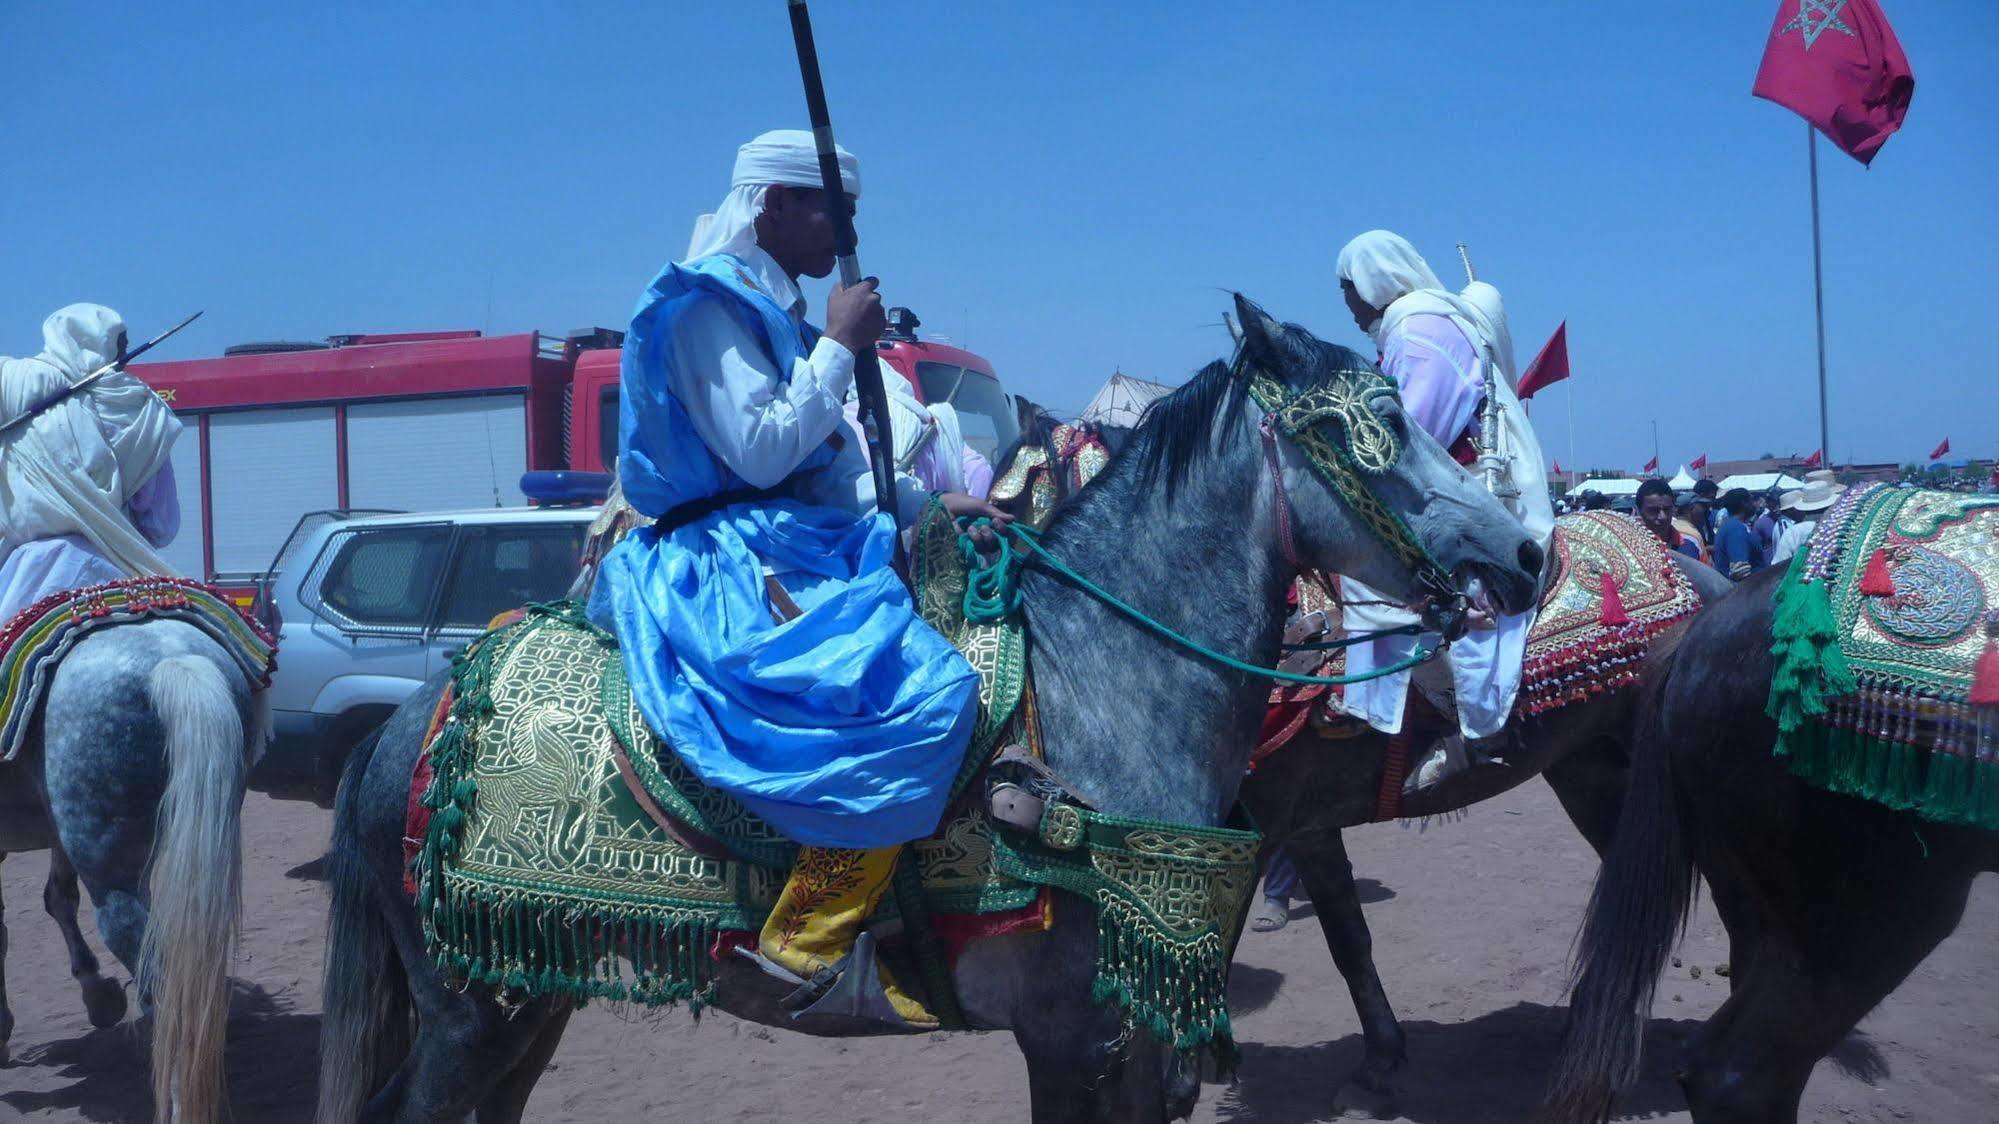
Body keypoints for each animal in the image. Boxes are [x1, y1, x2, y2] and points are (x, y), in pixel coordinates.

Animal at [315, 298, 1543, 1120]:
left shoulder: (1132, 1030)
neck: (1105, 692)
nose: (1524, 552)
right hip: (471, 1009)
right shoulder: (1073, 1036)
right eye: (1375, 423)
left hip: (525, 993)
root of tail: (405, 733)